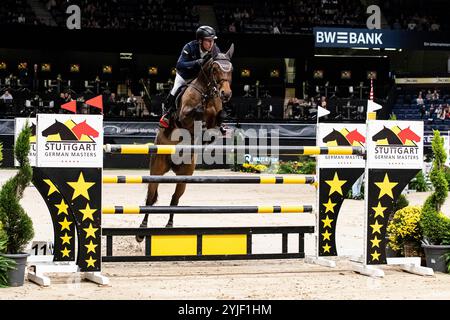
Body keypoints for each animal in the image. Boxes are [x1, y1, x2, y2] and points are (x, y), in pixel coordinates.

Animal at [135, 44, 234, 240]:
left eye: (231, 70)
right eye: (215, 69)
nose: (225, 94)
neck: (207, 93)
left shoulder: (215, 119)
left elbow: (217, 121)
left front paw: (213, 130)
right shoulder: (183, 117)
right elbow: (195, 112)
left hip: (184, 175)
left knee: (175, 198)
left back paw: (169, 225)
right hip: (157, 169)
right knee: (150, 198)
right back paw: (142, 231)